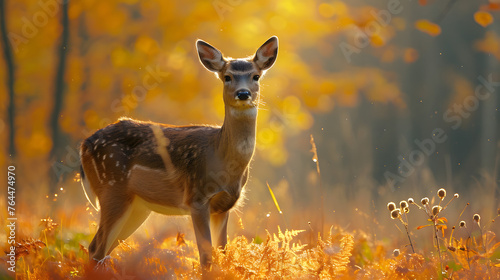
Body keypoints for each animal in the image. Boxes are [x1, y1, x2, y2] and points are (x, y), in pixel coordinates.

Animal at [80, 36, 280, 268]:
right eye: (227, 77)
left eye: (256, 76)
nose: (243, 93)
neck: (222, 159)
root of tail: (84, 144)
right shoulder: (197, 197)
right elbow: (206, 258)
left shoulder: (224, 207)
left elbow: (223, 254)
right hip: (111, 188)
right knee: (96, 248)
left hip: (137, 206)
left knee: (102, 250)